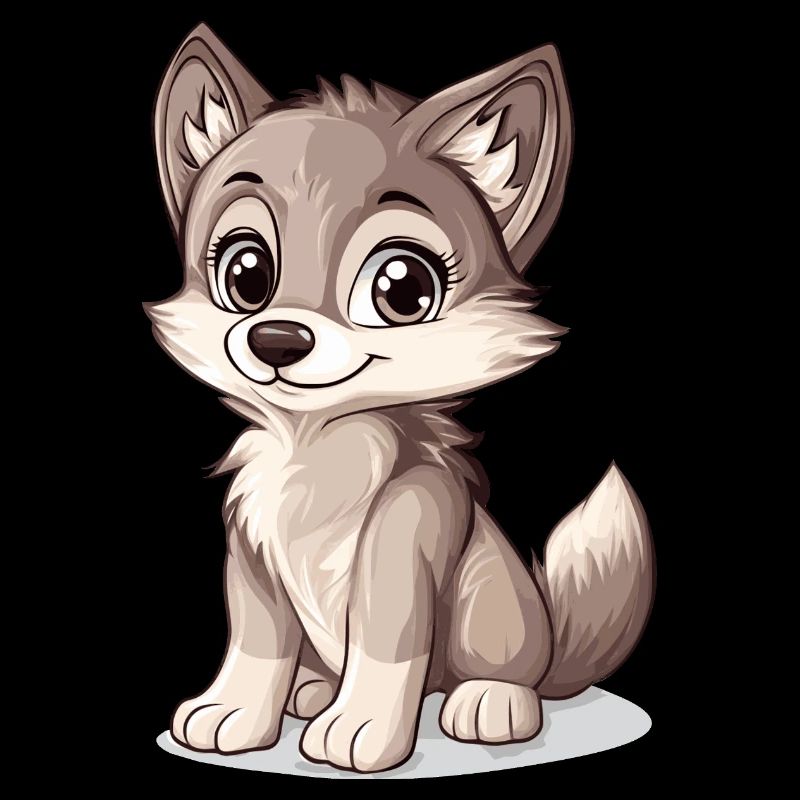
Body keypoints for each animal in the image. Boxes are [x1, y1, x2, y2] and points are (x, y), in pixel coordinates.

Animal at [147, 23, 655, 773]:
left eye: (403, 288)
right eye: (246, 273)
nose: (275, 339)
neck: (320, 445)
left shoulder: (406, 537)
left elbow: (385, 642)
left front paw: (359, 729)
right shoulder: (251, 548)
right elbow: (256, 643)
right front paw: (234, 713)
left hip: (492, 607)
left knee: (502, 672)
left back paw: (489, 702)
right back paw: (309, 690)